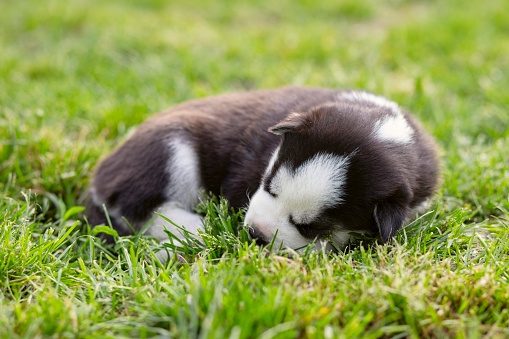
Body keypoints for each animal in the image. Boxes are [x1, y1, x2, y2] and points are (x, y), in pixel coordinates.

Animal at [86, 87, 436, 258]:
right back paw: (192, 229)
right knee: (138, 209)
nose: (256, 234)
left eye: (311, 227)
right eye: (268, 186)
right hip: (172, 148)